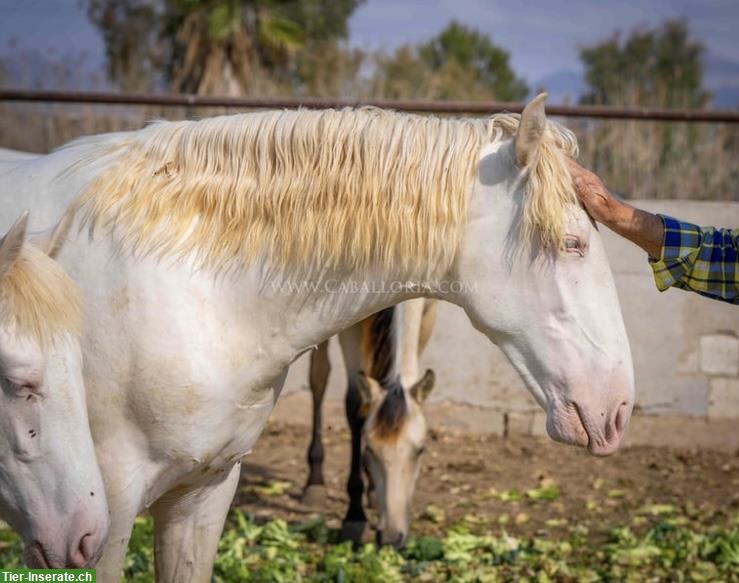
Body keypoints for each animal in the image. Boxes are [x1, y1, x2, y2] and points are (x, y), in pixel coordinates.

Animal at [304, 298, 436, 548]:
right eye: (370, 450)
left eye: (421, 450)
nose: (392, 538)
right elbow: (355, 403)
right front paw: (354, 516)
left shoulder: (430, 308)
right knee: (319, 376)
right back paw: (315, 482)